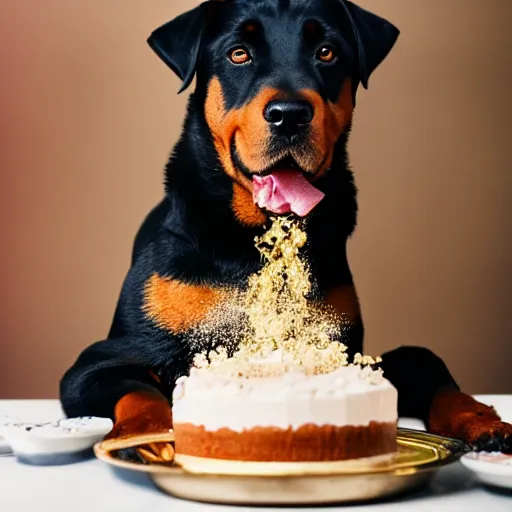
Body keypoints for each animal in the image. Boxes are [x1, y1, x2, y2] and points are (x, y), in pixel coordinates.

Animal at [61, 0, 512, 456]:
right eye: (238, 54)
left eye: (327, 52)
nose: (289, 116)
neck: (255, 239)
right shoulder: (99, 360)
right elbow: (137, 388)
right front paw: (147, 437)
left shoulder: (344, 347)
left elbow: (418, 363)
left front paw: (483, 420)